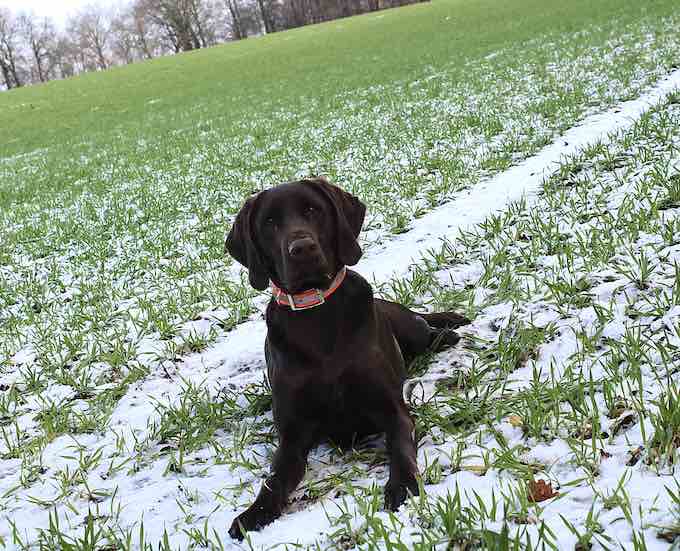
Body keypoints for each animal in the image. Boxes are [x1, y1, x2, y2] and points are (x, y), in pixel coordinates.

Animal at [224, 179, 468, 540]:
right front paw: (255, 512)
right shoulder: (292, 436)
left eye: (313, 210)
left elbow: (400, 445)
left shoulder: (392, 409)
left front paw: (402, 484)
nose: (302, 249)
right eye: (268, 222)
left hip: (413, 331)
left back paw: (446, 331)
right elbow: (274, 479)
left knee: (426, 327)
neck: (317, 318)